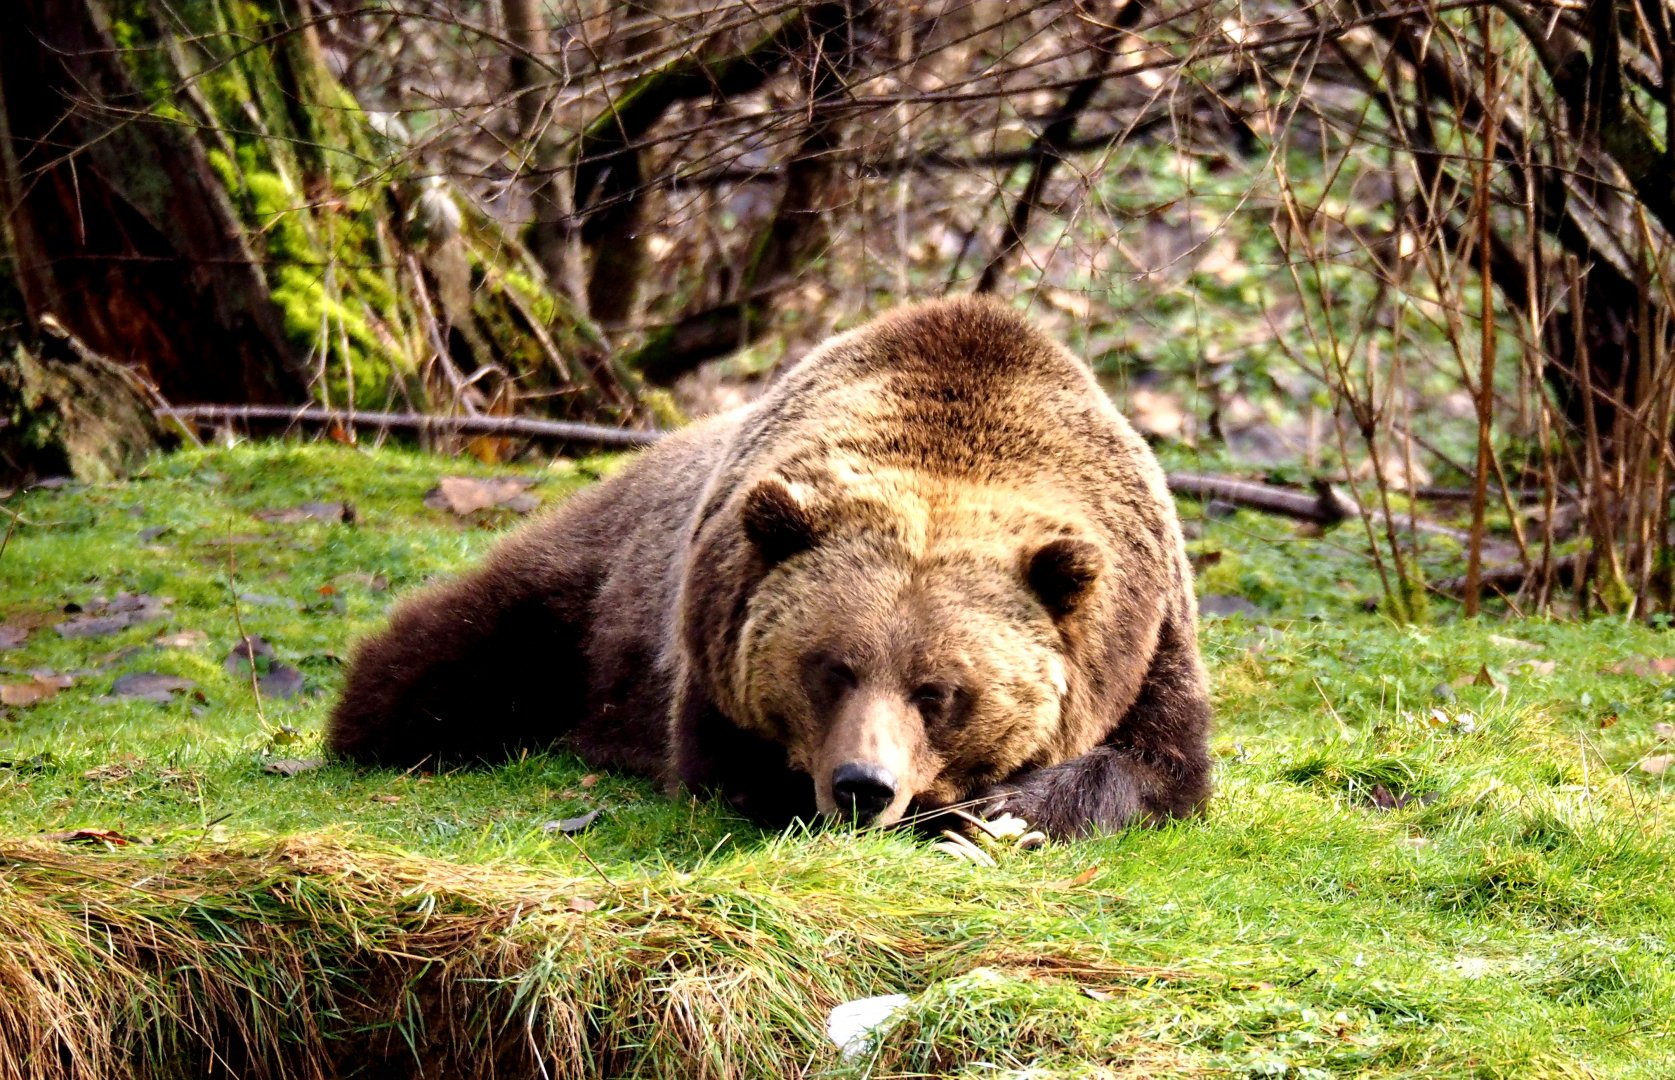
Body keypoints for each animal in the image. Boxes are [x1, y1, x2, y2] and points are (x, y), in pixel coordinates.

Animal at [326, 296, 1211, 839]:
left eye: (939, 691)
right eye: (831, 668)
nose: (862, 785)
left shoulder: (1143, 636)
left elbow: (1157, 769)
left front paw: (1004, 808)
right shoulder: (710, 633)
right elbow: (732, 766)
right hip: (587, 592)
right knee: (449, 655)